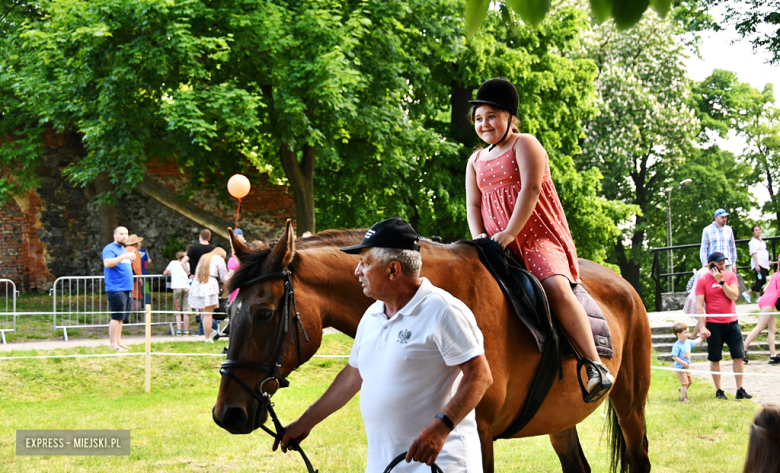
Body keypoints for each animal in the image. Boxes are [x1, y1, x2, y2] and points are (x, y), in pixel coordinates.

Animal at [213, 222, 652, 472]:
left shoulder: (479, 434)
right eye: (228, 312)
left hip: (630, 404)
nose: (227, 413)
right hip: (560, 419)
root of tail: (627, 286)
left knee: (639, 458)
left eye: (264, 313)